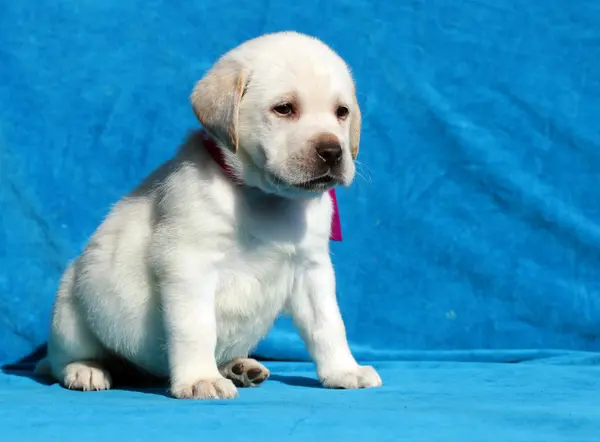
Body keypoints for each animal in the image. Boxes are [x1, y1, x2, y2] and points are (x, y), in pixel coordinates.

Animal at [37, 29, 382, 398]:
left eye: (341, 112)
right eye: (284, 108)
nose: (332, 151)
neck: (265, 198)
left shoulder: (311, 269)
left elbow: (328, 325)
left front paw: (344, 370)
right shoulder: (189, 266)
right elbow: (197, 328)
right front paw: (200, 379)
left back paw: (239, 366)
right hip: (71, 308)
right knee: (63, 360)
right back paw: (86, 370)